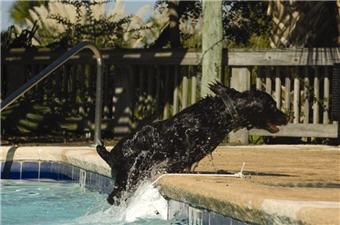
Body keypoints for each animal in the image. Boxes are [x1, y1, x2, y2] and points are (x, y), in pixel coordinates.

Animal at [97, 81, 288, 205]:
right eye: (272, 106)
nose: (287, 117)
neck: (220, 113)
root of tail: (110, 154)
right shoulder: (184, 150)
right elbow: (177, 162)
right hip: (128, 177)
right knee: (113, 197)